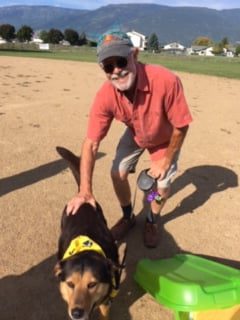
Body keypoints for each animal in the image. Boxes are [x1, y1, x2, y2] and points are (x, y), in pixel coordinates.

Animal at [54, 147, 125, 320]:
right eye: (70, 284)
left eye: (92, 284)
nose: (76, 313)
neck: (86, 247)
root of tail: (83, 198)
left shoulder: (107, 301)